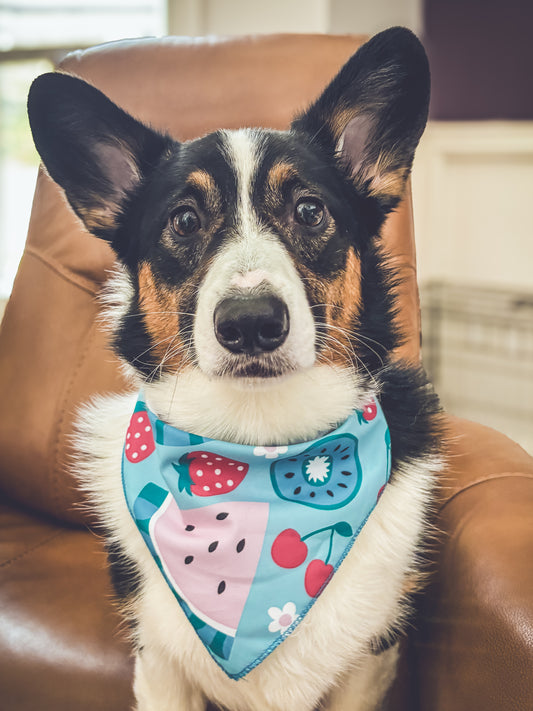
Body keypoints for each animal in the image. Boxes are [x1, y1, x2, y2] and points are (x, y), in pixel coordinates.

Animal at [29, 26, 442, 711]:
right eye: (185, 220)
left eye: (309, 211)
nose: (251, 323)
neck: (258, 445)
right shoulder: (160, 662)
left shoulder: (368, 661)